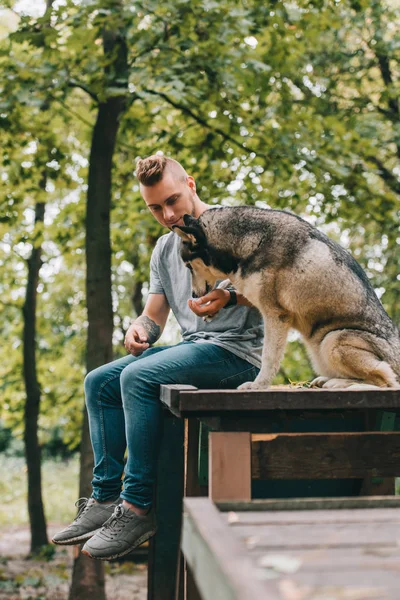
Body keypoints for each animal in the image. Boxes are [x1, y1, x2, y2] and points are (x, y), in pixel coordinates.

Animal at [173, 206, 400, 392]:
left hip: (333, 339)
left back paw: (343, 384)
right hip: (320, 349)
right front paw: (212, 306)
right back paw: (328, 380)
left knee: (388, 381)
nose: (194, 295)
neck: (249, 241)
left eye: (188, 266)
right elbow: (227, 285)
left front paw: (258, 385)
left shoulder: (275, 315)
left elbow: (268, 357)